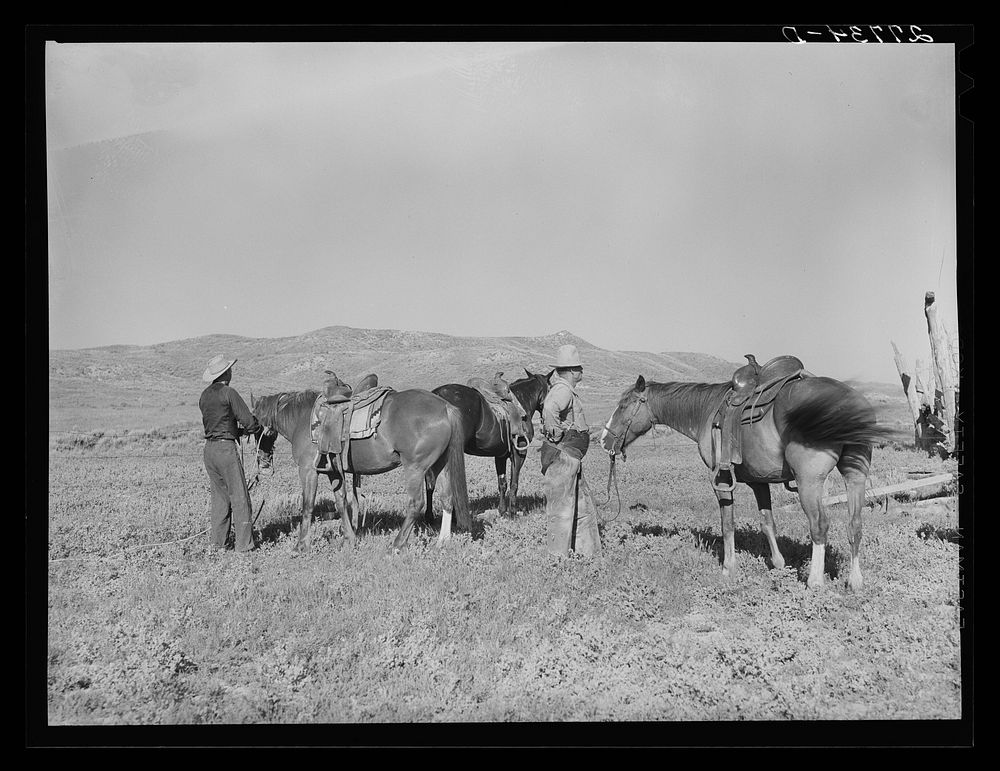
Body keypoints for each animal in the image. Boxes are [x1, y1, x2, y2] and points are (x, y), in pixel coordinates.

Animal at [248, 390, 470, 552]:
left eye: (256, 428)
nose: (264, 463)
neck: (302, 419)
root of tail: (445, 407)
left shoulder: (308, 471)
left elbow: (307, 505)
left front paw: (301, 546)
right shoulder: (334, 472)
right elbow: (341, 503)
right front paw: (349, 539)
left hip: (415, 468)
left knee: (416, 503)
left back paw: (397, 545)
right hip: (440, 465)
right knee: (447, 499)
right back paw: (442, 542)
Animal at [596, 356, 896, 592]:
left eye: (624, 405)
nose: (603, 440)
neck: (707, 411)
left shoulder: (721, 480)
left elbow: (727, 523)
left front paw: (729, 568)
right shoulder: (757, 481)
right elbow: (768, 523)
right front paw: (778, 564)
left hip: (809, 482)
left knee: (820, 525)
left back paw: (815, 581)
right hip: (855, 474)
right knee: (855, 524)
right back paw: (855, 581)